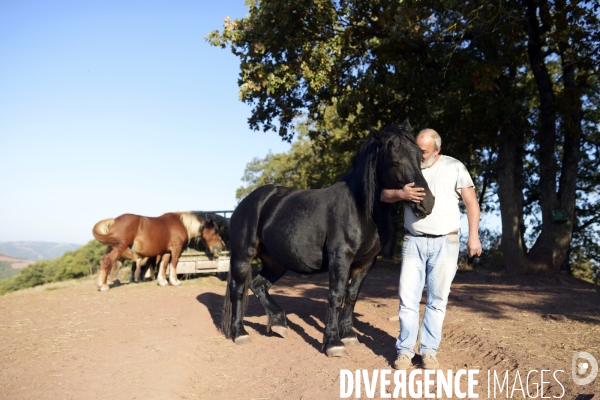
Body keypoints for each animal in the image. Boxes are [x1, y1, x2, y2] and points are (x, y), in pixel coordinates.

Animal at [92, 212, 224, 290]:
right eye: (214, 232)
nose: (221, 246)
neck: (182, 224)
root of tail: (113, 220)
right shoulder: (176, 249)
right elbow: (173, 264)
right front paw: (175, 282)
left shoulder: (166, 252)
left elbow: (163, 265)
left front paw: (162, 282)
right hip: (118, 248)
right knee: (108, 262)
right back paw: (104, 286)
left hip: (112, 248)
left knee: (104, 262)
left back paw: (101, 284)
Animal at [220, 120, 432, 358]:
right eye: (395, 160)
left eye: (420, 156)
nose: (427, 203)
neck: (360, 209)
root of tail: (247, 202)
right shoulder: (340, 258)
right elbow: (336, 295)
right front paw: (333, 342)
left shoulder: (366, 262)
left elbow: (352, 295)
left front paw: (348, 334)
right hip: (242, 256)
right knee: (238, 290)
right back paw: (240, 332)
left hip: (276, 262)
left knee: (258, 285)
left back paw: (279, 323)